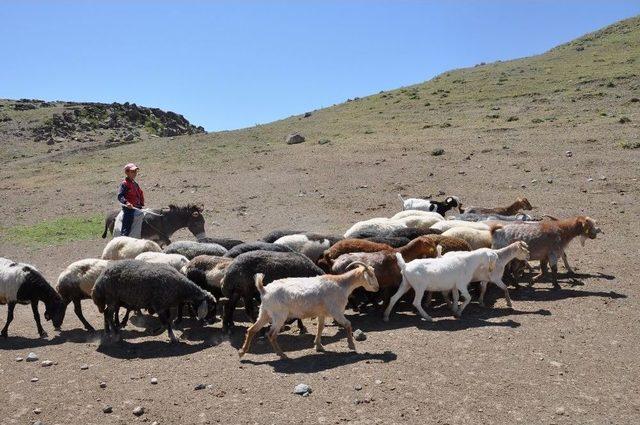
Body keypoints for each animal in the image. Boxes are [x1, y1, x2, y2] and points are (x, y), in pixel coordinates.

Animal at [240, 262, 380, 358]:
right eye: (371, 274)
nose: (377, 288)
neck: (341, 284)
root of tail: (264, 290)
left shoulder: (322, 313)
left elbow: (320, 328)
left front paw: (318, 346)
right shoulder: (336, 311)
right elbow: (348, 324)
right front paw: (351, 345)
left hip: (265, 313)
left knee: (251, 330)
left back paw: (242, 352)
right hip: (279, 315)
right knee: (271, 334)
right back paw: (282, 354)